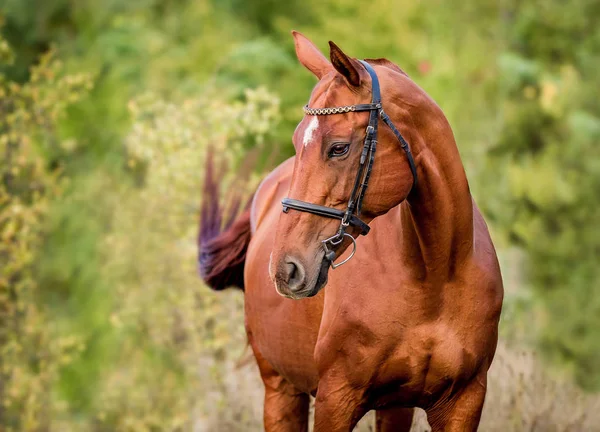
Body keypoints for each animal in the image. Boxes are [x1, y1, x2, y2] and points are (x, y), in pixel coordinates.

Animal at [199, 31, 504, 432]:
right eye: (297, 142)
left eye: (339, 148)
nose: (285, 268)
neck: (436, 275)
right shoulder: (336, 399)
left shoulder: (463, 402)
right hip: (281, 390)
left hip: (394, 408)